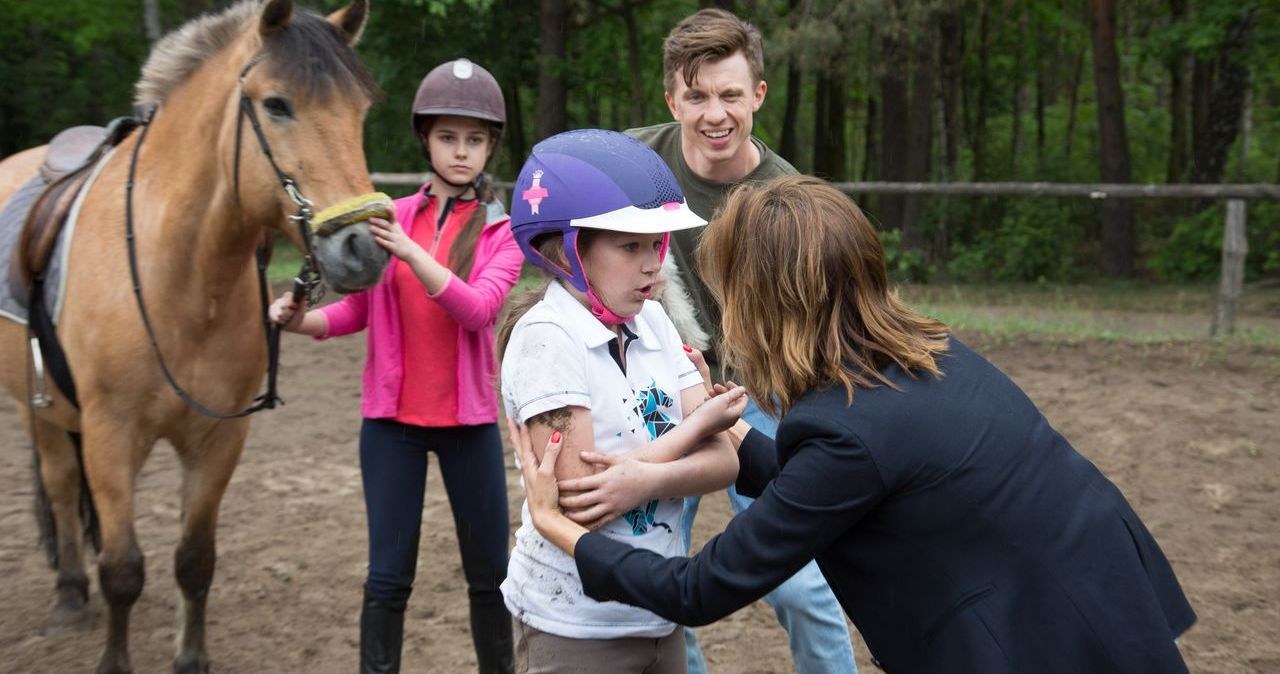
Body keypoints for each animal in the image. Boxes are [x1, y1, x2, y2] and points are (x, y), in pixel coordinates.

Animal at [0, 2, 389, 670]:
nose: (361, 249)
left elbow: (194, 561)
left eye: (361, 109)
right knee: (60, 483)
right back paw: (71, 595)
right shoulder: (111, 434)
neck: (181, 276)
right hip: (38, 410)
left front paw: (191, 657)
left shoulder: (219, 438)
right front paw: (114, 659)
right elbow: (124, 569)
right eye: (277, 105)